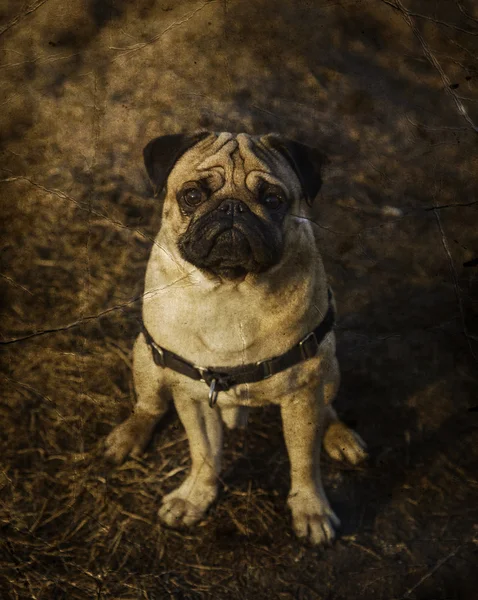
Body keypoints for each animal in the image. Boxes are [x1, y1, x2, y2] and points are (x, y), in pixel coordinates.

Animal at [104, 131, 366, 544]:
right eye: (192, 195)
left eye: (273, 200)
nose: (232, 208)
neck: (230, 290)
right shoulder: (194, 398)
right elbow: (204, 453)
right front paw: (195, 497)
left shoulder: (302, 394)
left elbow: (303, 460)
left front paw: (311, 509)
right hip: (144, 356)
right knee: (150, 405)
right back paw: (130, 434)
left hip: (329, 365)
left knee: (327, 406)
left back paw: (340, 435)